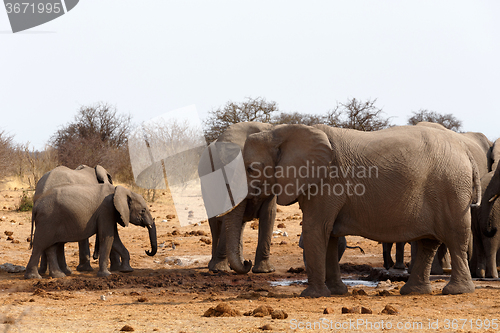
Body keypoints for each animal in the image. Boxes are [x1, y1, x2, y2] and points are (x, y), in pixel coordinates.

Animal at [24, 183, 156, 278]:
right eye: (143, 210)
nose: (147, 250)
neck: (121, 190)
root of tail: (36, 205)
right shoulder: (106, 210)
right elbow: (107, 237)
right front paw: (106, 275)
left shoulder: (111, 213)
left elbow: (114, 239)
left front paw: (127, 270)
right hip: (47, 220)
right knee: (40, 245)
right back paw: (33, 277)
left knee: (51, 246)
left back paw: (59, 275)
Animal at [199, 120, 278, 272]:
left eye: (253, 169)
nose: (248, 262)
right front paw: (220, 270)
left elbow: (269, 213)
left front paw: (264, 270)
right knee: (215, 224)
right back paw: (213, 266)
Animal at [241, 122, 480, 296]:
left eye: (251, 169)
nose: (246, 262)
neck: (281, 131)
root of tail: (466, 151)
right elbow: (329, 235)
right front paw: (337, 292)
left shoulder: (326, 182)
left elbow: (316, 230)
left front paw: (312, 295)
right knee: (428, 243)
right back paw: (414, 292)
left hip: (451, 188)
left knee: (454, 238)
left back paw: (456, 291)